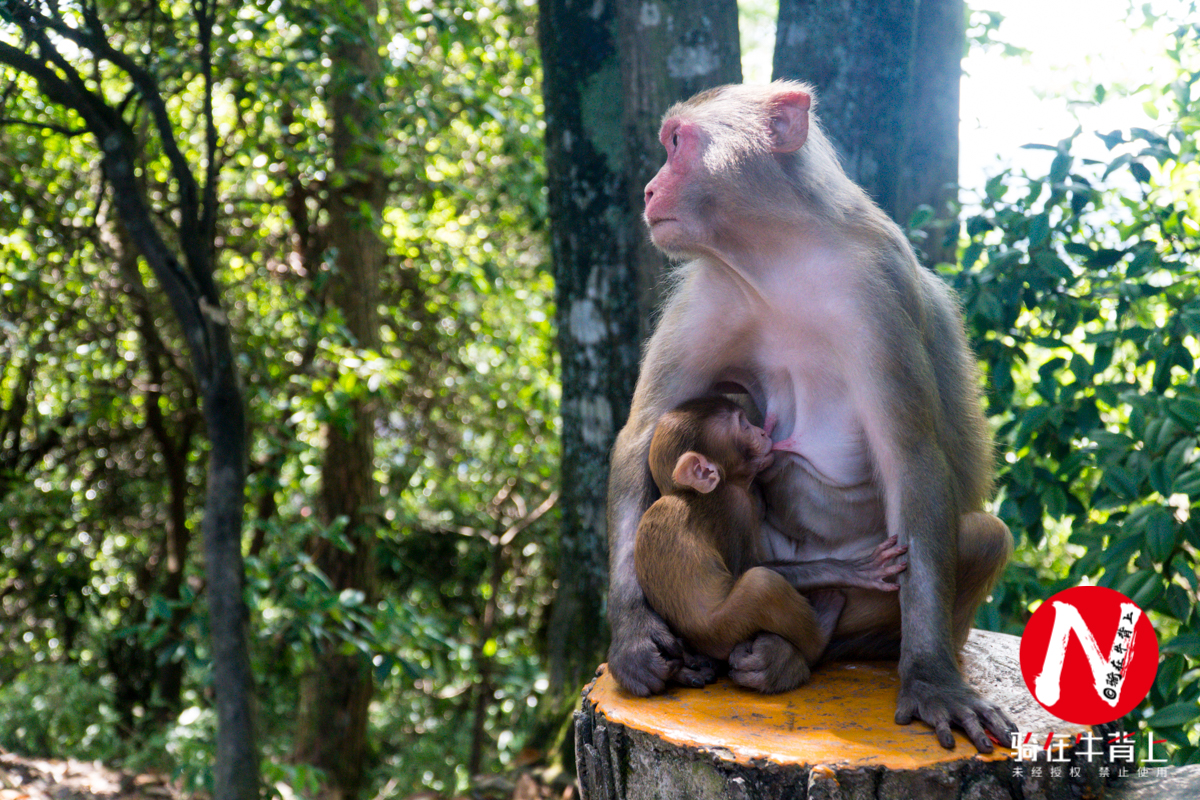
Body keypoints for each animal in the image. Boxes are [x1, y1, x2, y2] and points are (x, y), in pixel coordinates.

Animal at [638, 398, 902, 681]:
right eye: (744, 425)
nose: (763, 432)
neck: (687, 493)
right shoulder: (735, 506)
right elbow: (746, 569)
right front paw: (843, 570)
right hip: (722, 630)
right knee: (762, 585)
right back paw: (820, 632)